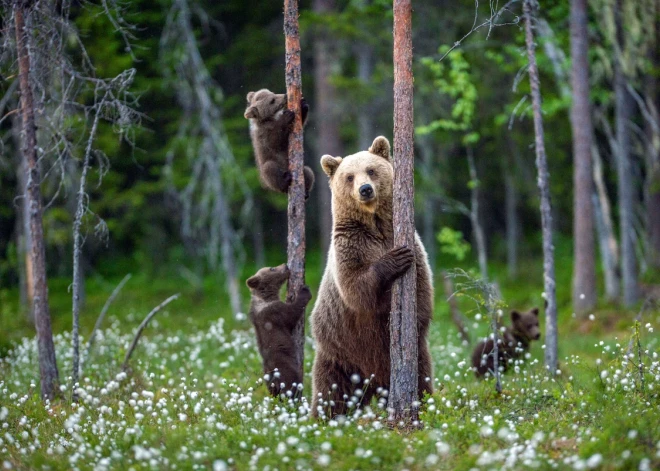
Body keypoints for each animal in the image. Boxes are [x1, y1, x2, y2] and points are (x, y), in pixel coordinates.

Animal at [248, 266, 312, 398]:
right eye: (272, 268)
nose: (286, 266)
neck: (266, 298)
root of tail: (274, 377)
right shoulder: (275, 313)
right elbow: (292, 314)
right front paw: (304, 290)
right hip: (285, 368)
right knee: (291, 384)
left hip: (268, 380)